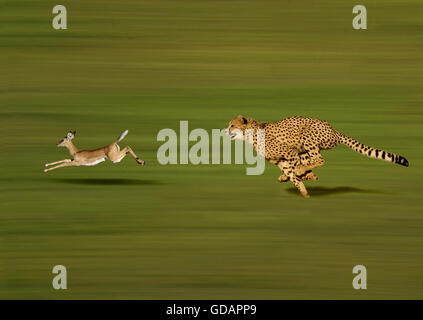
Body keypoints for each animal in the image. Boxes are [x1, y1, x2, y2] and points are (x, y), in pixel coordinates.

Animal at [227, 115, 410, 198]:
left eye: (232, 125)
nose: (226, 131)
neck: (251, 133)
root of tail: (334, 130)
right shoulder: (281, 160)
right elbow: (291, 173)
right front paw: (303, 191)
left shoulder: (289, 152)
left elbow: (293, 170)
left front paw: (301, 182)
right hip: (305, 149)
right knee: (311, 161)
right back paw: (307, 175)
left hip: (307, 137)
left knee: (319, 160)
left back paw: (306, 173)